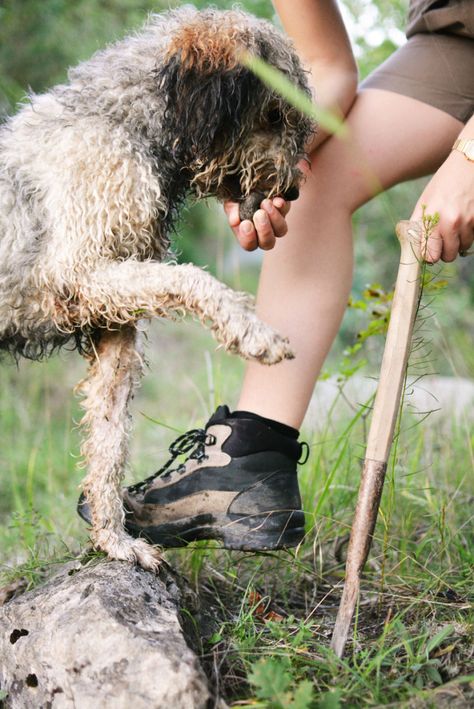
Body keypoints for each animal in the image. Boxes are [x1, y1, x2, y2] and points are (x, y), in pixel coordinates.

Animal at [0, 6, 316, 568]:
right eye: (274, 115)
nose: (293, 191)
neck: (123, 122)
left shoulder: (112, 323)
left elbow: (109, 439)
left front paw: (114, 540)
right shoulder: (79, 276)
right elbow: (188, 275)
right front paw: (252, 330)